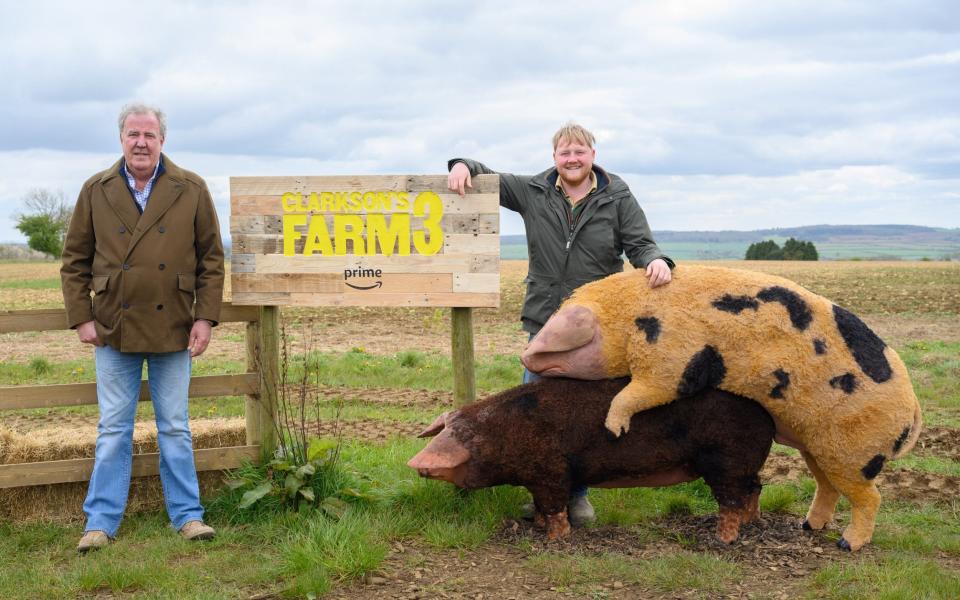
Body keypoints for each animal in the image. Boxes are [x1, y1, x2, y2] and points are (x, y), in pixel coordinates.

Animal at [404, 380, 772, 544]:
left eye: (459, 437)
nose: (414, 464)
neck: (503, 435)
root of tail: (765, 416)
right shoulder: (538, 478)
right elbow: (542, 505)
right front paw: (537, 525)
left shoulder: (552, 472)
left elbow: (556, 507)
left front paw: (554, 539)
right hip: (745, 466)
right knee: (757, 487)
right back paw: (753, 522)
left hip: (726, 462)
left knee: (731, 500)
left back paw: (722, 538)